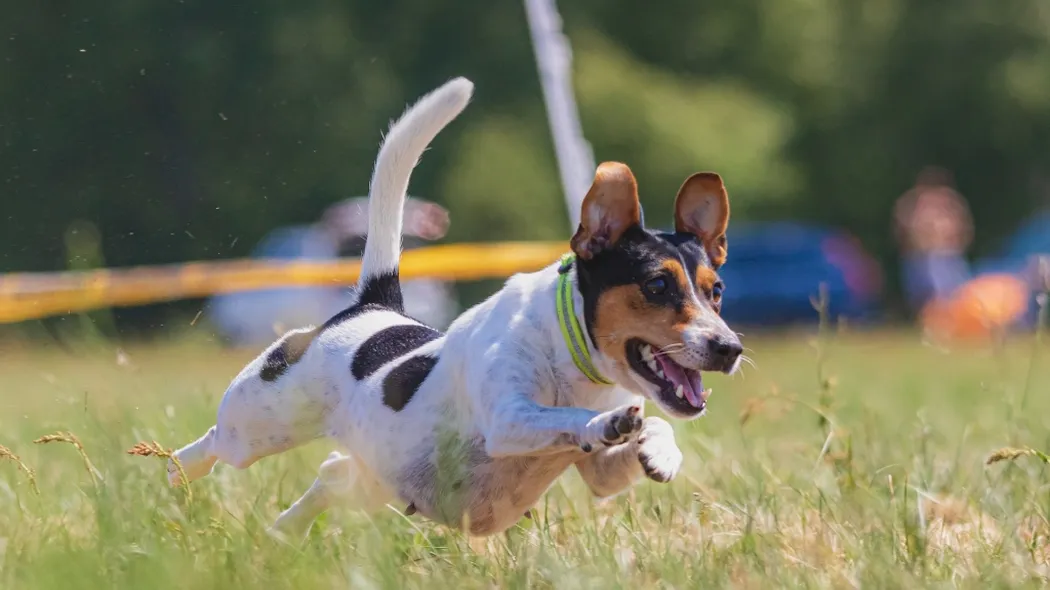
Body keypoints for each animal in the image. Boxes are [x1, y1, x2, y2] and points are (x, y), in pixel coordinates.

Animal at [170, 74, 747, 537]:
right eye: (657, 285)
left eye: (715, 290)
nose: (729, 348)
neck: (574, 354)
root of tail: (371, 307)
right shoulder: (509, 418)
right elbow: (565, 416)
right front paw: (602, 423)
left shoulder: (602, 474)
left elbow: (651, 431)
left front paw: (658, 448)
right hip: (259, 422)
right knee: (213, 443)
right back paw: (174, 476)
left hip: (376, 477)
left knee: (331, 474)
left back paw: (280, 535)